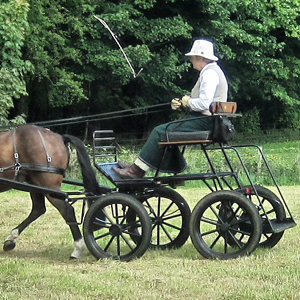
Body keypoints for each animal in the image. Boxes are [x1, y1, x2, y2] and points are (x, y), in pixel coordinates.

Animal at [0, 123, 102, 258]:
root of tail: (60, 137)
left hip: (49, 186)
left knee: (67, 210)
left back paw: (78, 248)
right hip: (35, 183)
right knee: (38, 209)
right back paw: (10, 239)